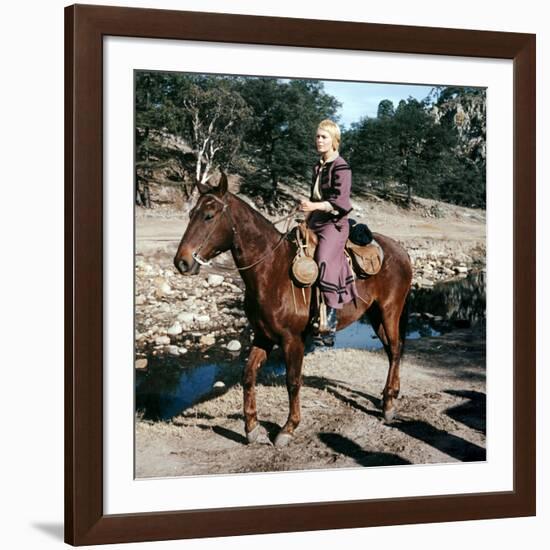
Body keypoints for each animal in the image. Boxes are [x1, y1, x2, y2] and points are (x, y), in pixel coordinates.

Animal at [175, 175, 412, 450]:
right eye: (191, 213)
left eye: (209, 215)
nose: (181, 262)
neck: (271, 271)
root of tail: (400, 250)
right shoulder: (263, 337)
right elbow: (248, 375)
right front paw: (252, 428)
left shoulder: (292, 340)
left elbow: (293, 381)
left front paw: (288, 428)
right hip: (374, 315)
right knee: (391, 350)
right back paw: (388, 397)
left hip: (389, 311)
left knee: (394, 349)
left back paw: (389, 405)